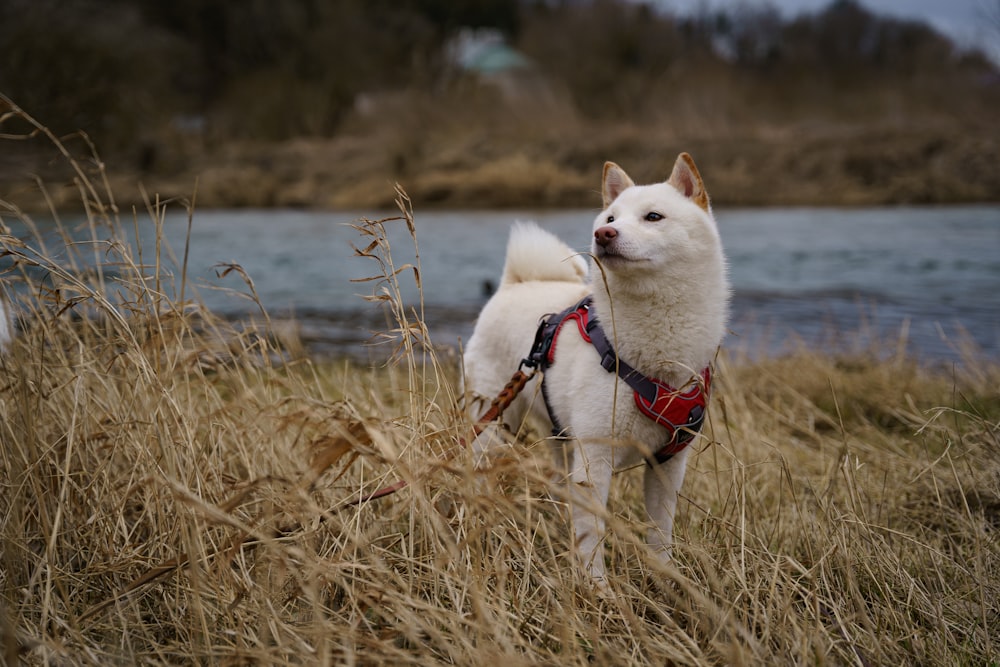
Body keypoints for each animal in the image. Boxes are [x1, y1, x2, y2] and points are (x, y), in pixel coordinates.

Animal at [464, 154, 732, 580]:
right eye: (609, 217)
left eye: (653, 216)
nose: (603, 234)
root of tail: (513, 285)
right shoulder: (594, 459)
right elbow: (593, 536)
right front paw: (597, 587)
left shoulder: (668, 464)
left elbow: (660, 532)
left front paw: (667, 579)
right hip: (494, 427)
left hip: (558, 435)